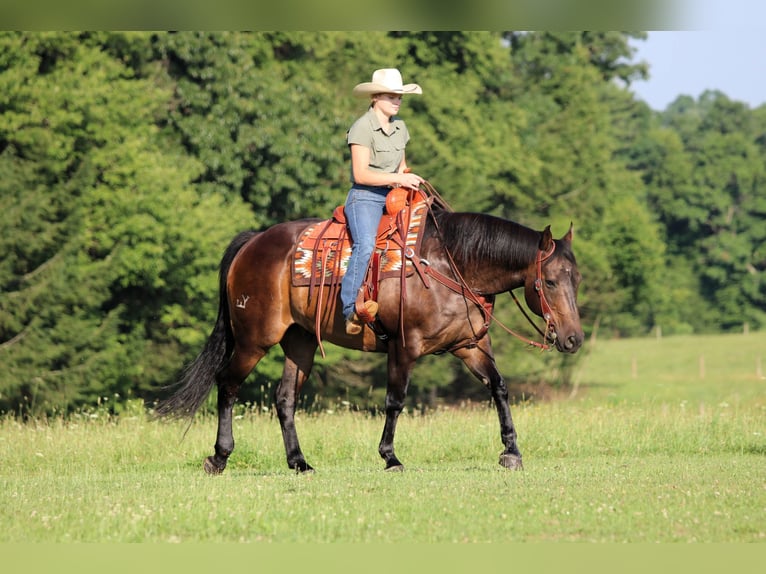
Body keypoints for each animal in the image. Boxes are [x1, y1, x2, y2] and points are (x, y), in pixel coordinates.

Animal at [157, 195, 583, 473]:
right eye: (548, 281)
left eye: (576, 279)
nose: (573, 339)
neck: (450, 265)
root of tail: (254, 242)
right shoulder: (404, 347)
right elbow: (395, 400)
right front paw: (390, 457)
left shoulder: (469, 346)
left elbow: (499, 388)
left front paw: (511, 451)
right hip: (253, 340)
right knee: (227, 384)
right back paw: (219, 456)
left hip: (300, 342)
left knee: (285, 398)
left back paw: (299, 462)